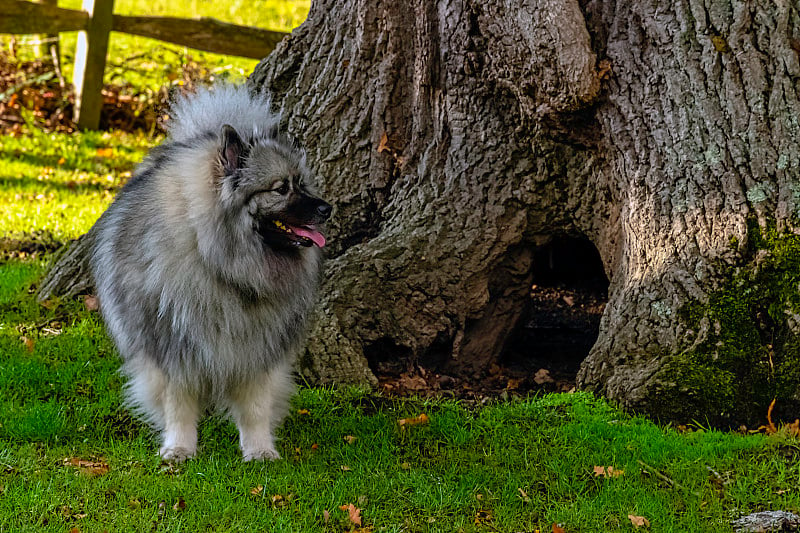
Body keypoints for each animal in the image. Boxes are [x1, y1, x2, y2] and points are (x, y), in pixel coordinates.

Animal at [90, 84, 332, 462]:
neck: (220, 264)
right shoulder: (173, 346)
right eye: (281, 188)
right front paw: (179, 447)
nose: (327, 208)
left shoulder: (256, 347)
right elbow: (178, 403)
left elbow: (256, 406)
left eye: (302, 184)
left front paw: (259, 450)